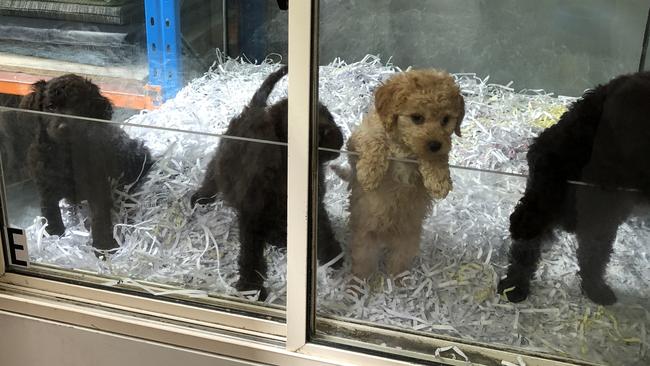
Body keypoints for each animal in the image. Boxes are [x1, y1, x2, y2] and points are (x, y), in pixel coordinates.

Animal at [24, 73, 153, 252]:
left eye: (79, 105)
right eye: (50, 106)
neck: (67, 152)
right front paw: (53, 236)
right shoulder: (45, 186)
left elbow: (99, 218)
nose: (64, 127)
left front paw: (104, 246)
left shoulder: (97, 186)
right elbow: (50, 212)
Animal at [190, 66, 344, 300]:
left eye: (330, 117)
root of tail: (254, 108)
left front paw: (332, 255)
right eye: (320, 132)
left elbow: (323, 228)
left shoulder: (314, 204)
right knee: (212, 176)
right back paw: (202, 197)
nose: (341, 136)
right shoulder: (251, 214)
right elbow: (250, 252)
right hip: (222, 159)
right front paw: (250, 285)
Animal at [346, 70, 464, 278]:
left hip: (407, 241)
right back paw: (358, 284)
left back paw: (398, 282)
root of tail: (386, 236)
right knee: (363, 265)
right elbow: (375, 139)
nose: (435, 144)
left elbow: (438, 159)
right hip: (365, 238)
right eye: (417, 118)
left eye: (446, 120)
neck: (403, 147)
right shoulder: (359, 137)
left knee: (397, 266)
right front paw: (370, 173)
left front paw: (439, 181)